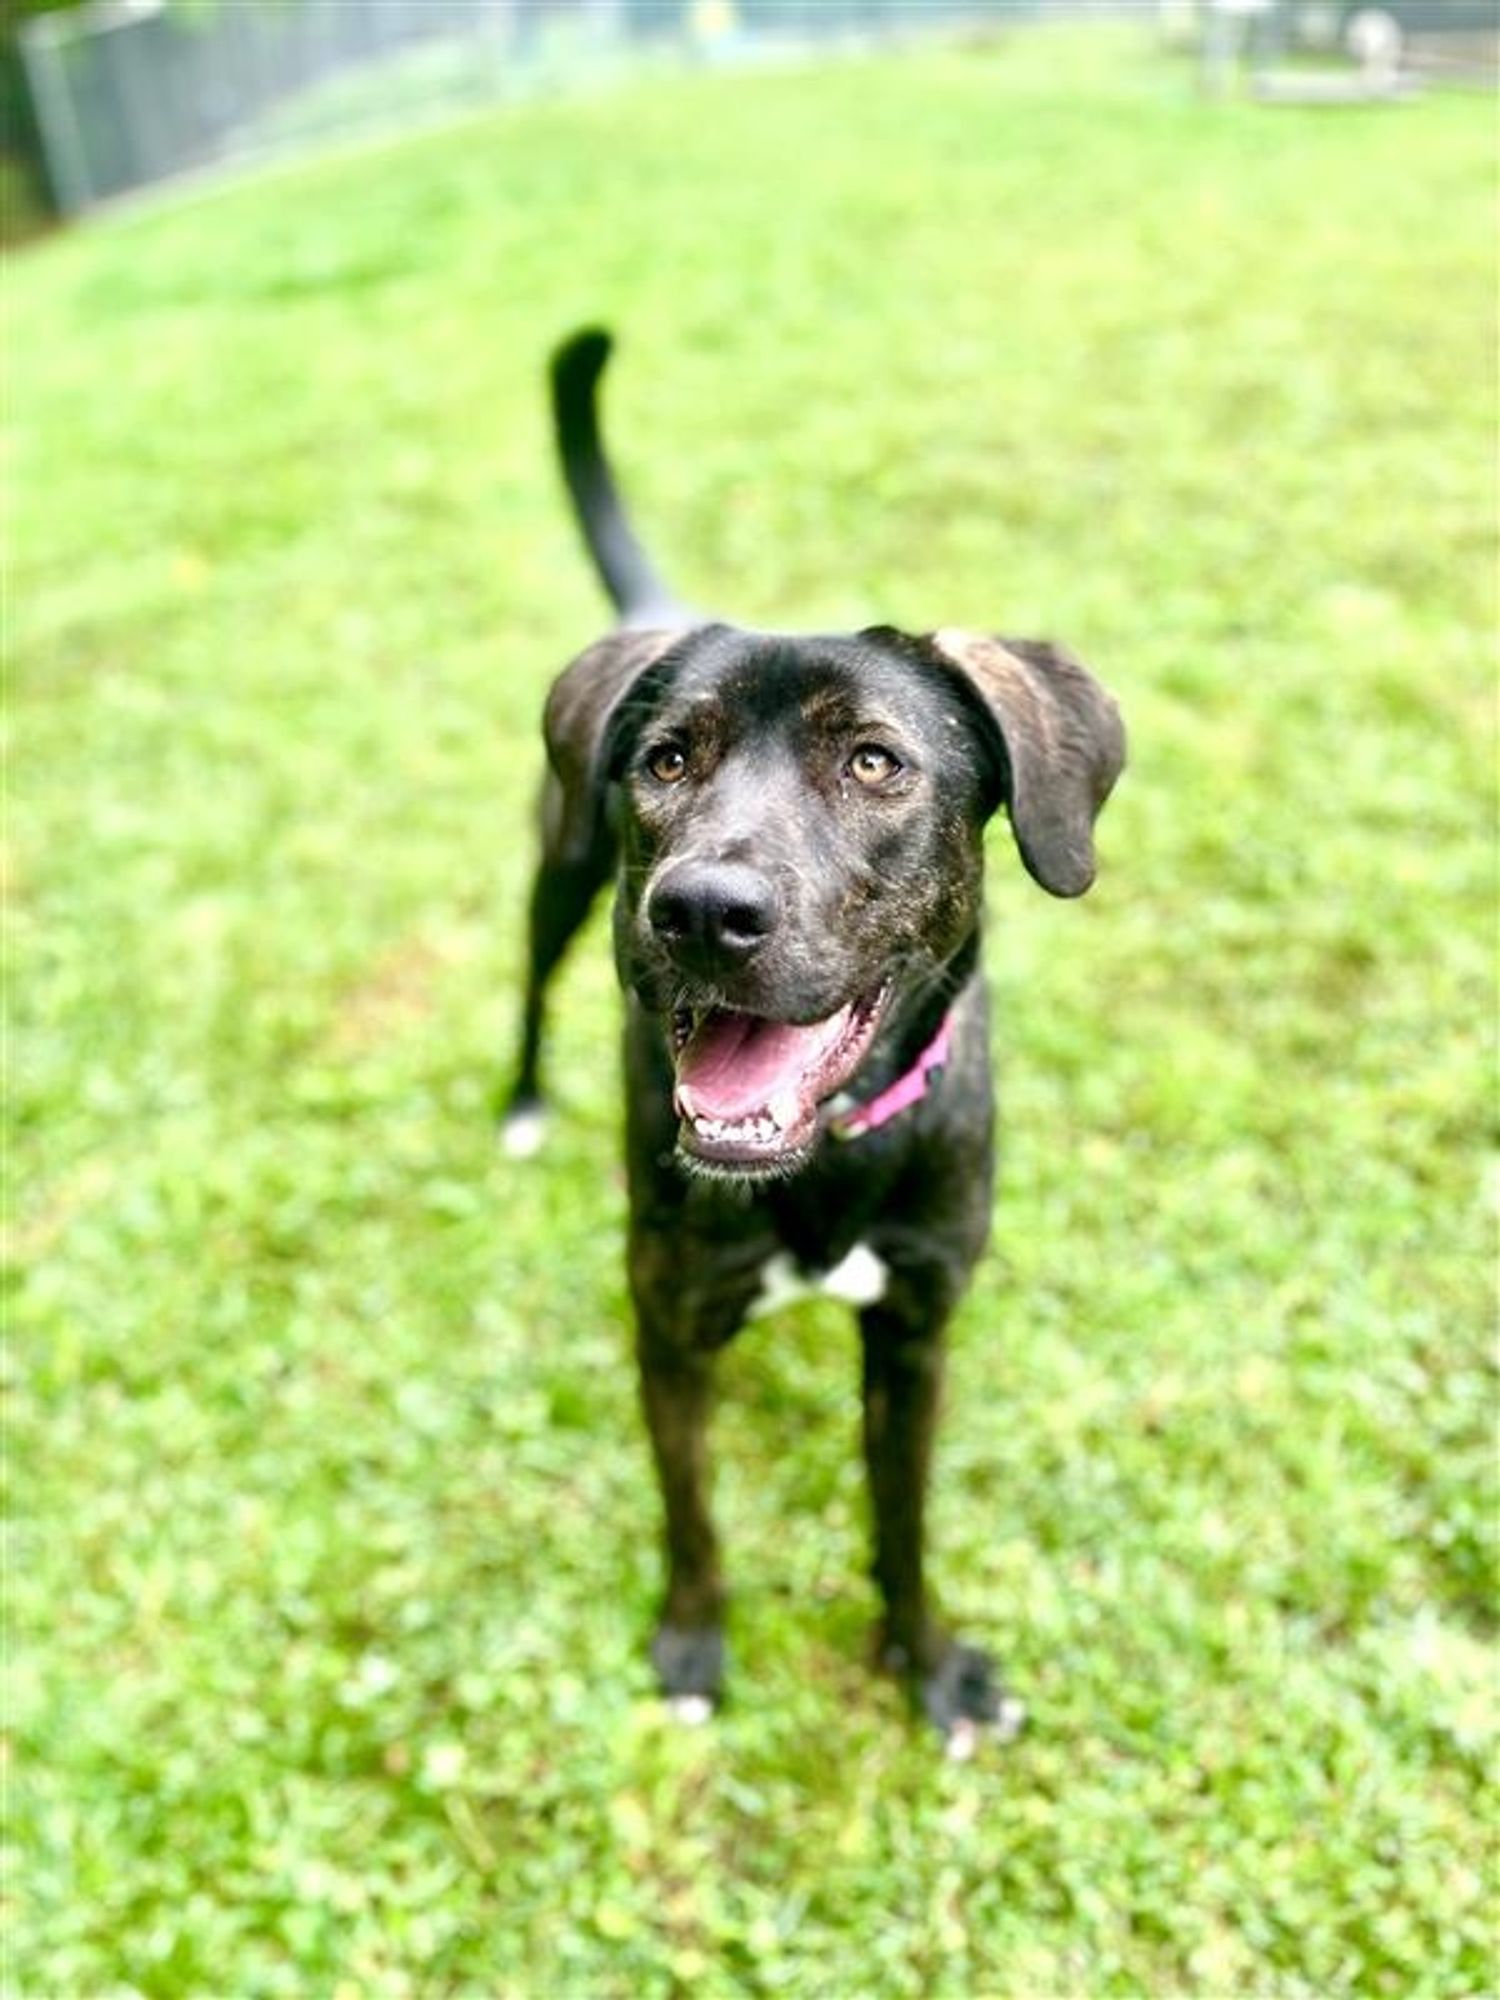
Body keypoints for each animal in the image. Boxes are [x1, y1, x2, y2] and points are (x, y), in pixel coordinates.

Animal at [506, 332, 1128, 1752]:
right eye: (668, 761)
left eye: (875, 762)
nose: (701, 909)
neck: (828, 1155)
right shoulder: (668, 1325)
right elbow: (690, 1512)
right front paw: (692, 1641)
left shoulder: (916, 1333)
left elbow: (904, 1523)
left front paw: (930, 1661)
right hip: (554, 875)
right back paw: (518, 1104)